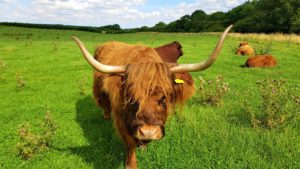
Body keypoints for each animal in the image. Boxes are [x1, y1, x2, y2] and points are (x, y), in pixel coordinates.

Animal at [71, 25, 233, 169]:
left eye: (165, 97)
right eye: (131, 96)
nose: (149, 132)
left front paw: (144, 145)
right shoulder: (121, 121)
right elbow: (130, 144)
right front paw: (131, 164)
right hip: (98, 89)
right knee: (102, 101)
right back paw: (105, 116)